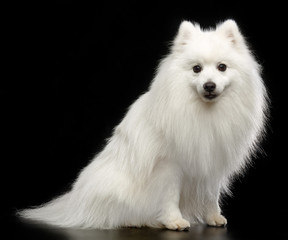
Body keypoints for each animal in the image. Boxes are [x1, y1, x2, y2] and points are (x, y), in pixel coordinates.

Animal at [19, 19, 268, 230]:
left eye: (222, 67)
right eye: (196, 69)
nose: (209, 85)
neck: (204, 113)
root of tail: (73, 204)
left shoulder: (211, 163)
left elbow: (210, 196)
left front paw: (214, 217)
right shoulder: (169, 166)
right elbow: (170, 196)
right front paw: (174, 221)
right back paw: (138, 221)